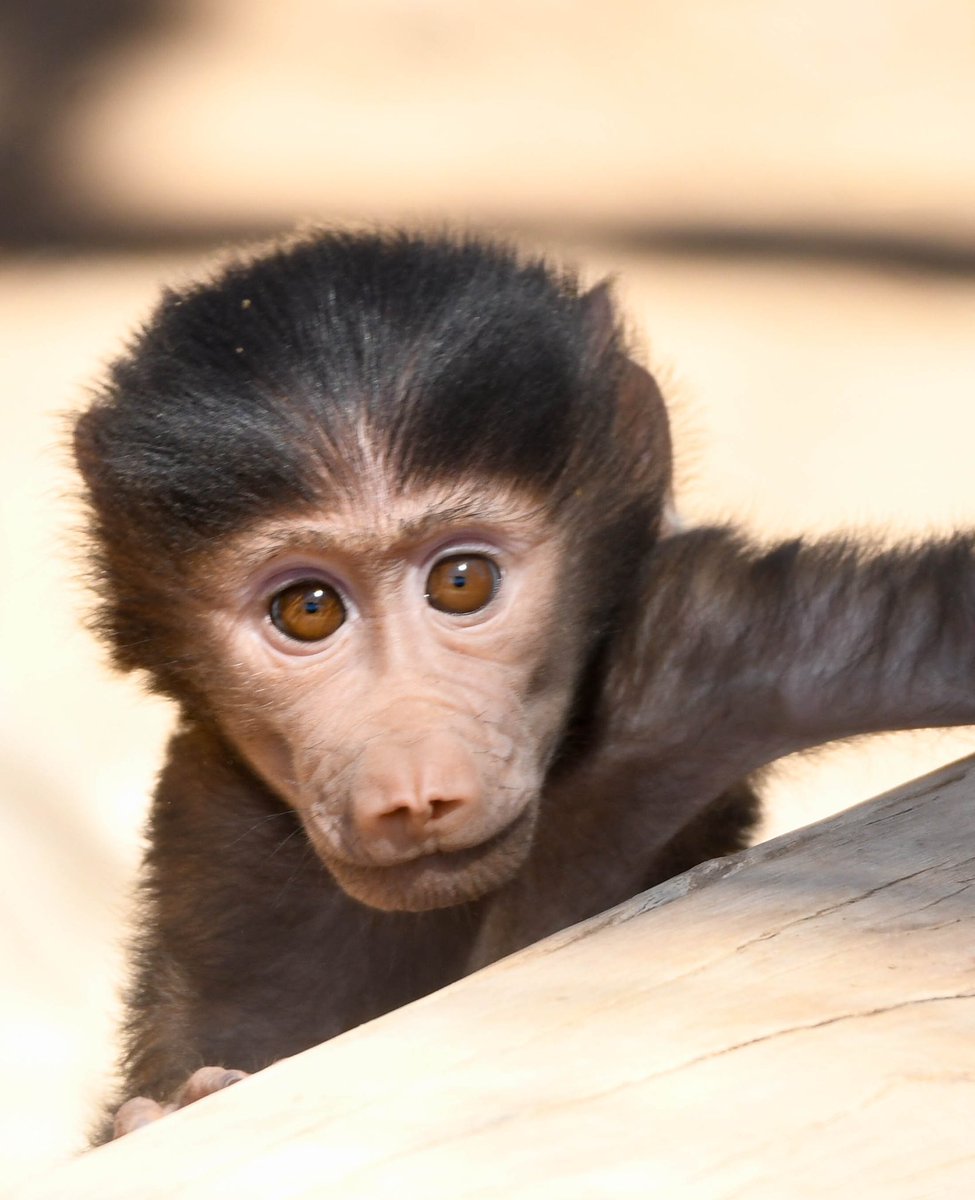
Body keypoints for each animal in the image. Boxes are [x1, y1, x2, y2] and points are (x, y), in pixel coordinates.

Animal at [73, 229, 975, 1141]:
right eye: (309, 609)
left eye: (461, 582)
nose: (413, 788)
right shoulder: (209, 821)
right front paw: (158, 1112)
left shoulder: (701, 639)